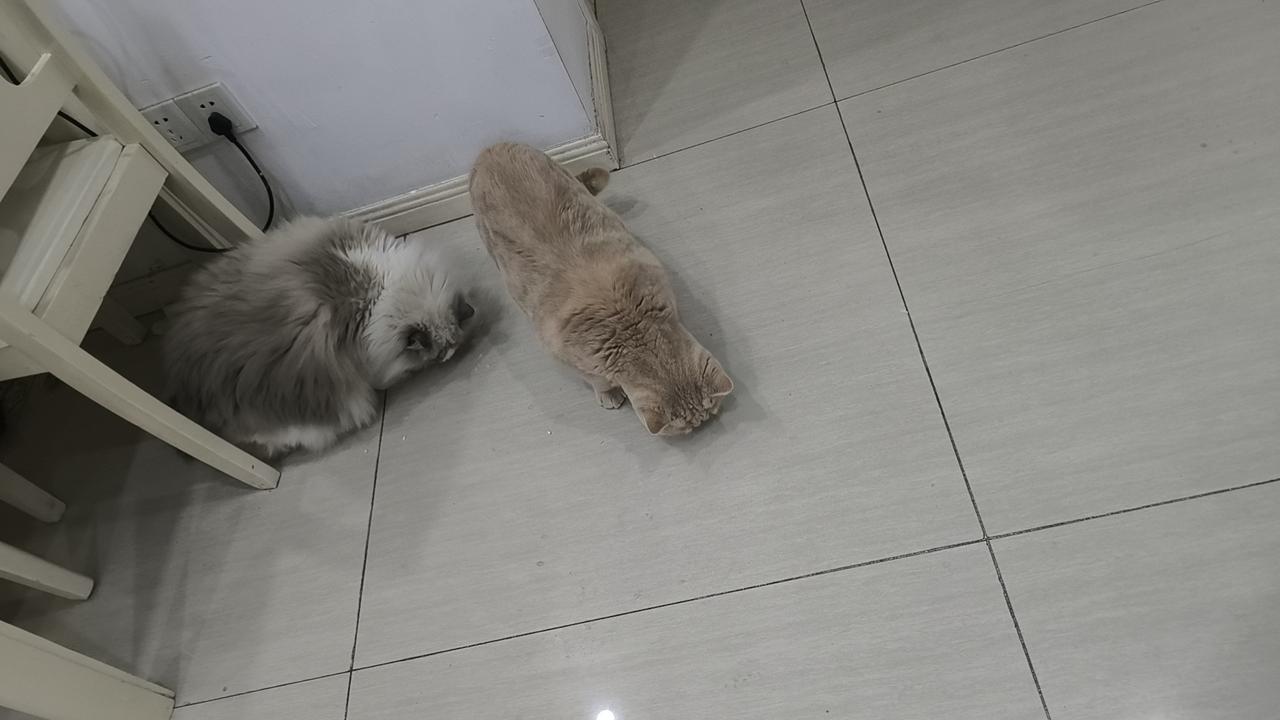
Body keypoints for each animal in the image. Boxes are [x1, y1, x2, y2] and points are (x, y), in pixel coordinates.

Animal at [469, 142, 732, 435]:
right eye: (685, 430)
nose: (699, 427)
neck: (626, 320)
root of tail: (490, 148)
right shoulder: (563, 355)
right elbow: (599, 380)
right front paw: (609, 394)